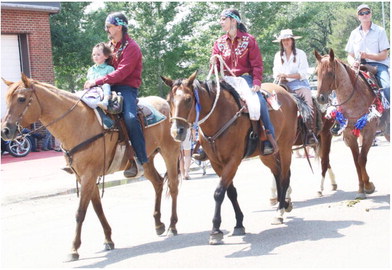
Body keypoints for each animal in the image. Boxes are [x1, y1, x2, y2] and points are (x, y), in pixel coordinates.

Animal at [0, 74, 180, 260]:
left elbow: (80, 212)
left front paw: (74, 248)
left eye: (21, 99)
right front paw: (108, 239)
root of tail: (166, 104)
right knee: (158, 183)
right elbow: (97, 208)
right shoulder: (84, 176)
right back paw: (158, 224)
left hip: (170, 152)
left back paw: (172, 226)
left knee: (173, 186)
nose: (5, 131)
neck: (78, 123)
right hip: (147, 160)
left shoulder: (88, 176)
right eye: (6, 99)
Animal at [162, 71, 298, 245]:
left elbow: (219, 192)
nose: (176, 131)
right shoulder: (216, 163)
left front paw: (215, 230)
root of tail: (286, 94)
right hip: (267, 155)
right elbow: (231, 192)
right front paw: (239, 223)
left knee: (284, 177)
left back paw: (279, 212)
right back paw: (285, 203)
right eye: (168, 101)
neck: (219, 116)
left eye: (188, 99)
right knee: (278, 173)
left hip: (285, 147)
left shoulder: (233, 161)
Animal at [312, 49, 388, 199]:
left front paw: (368, 186)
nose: (320, 98)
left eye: (330, 72)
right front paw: (361, 189)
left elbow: (362, 159)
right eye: (317, 72)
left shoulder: (369, 132)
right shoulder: (349, 134)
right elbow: (356, 161)